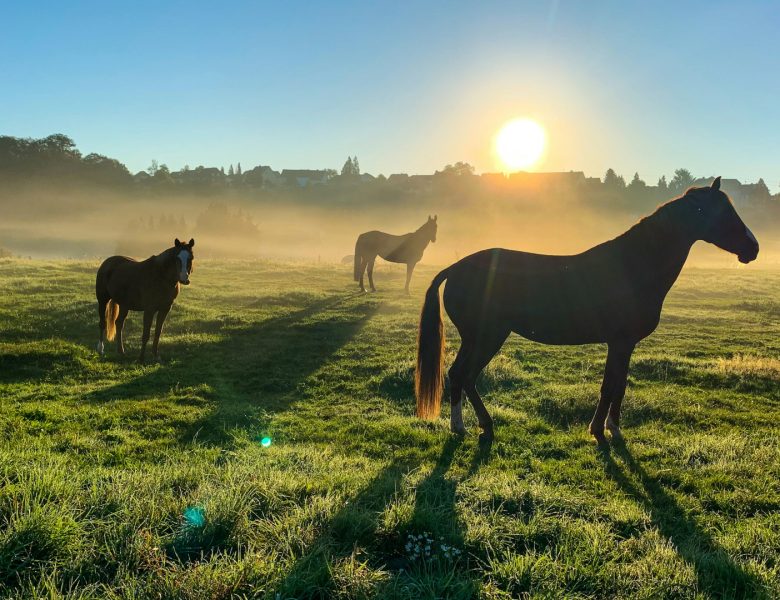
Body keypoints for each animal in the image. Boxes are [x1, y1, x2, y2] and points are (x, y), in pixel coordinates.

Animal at [418, 176, 760, 442]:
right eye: (720, 212)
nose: (753, 248)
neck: (633, 266)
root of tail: (456, 267)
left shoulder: (624, 344)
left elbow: (619, 385)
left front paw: (611, 427)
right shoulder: (620, 342)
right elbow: (610, 386)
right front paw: (601, 430)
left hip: (479, 338)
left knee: (462, 376)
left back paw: (472, 425)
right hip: (487, 336)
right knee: (463, 374)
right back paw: (468, 427)